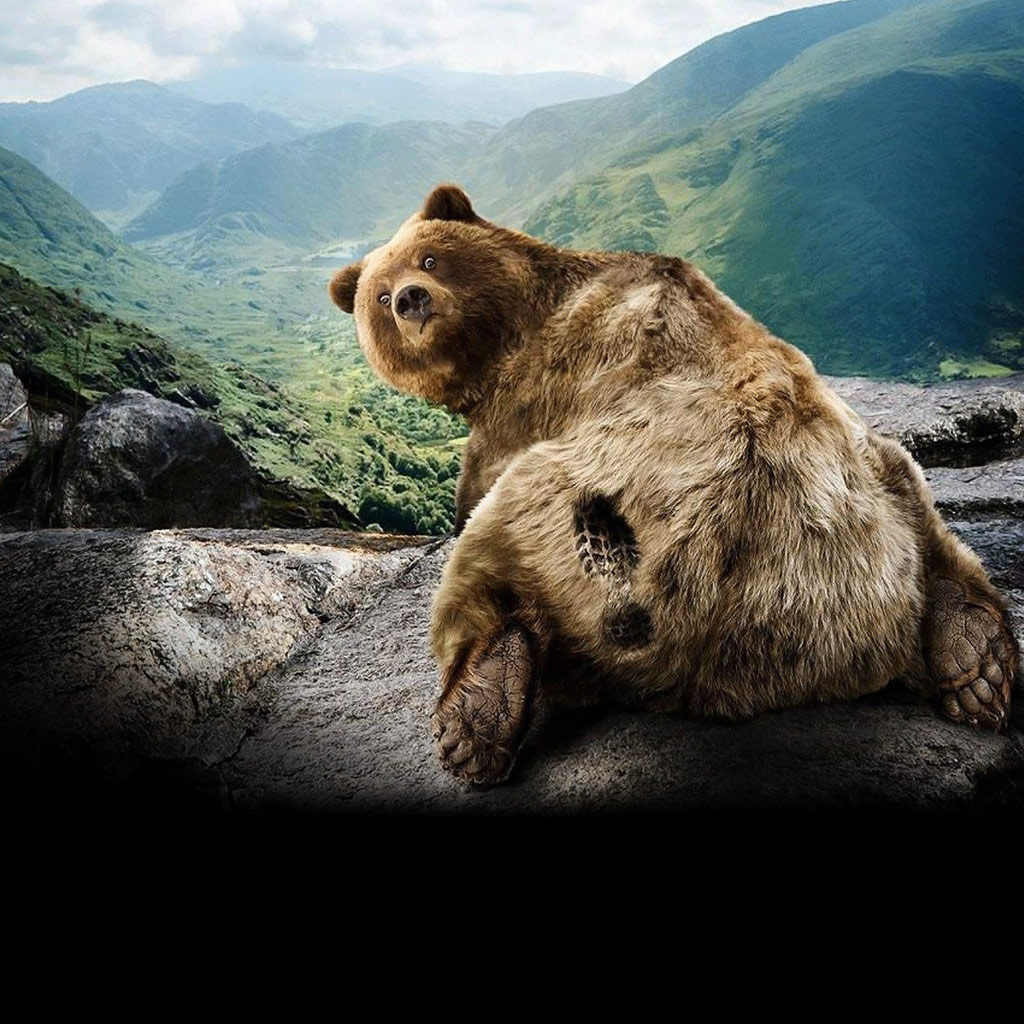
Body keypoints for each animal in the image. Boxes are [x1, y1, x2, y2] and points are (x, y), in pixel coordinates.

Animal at [330, 182, 1020, 786]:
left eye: (429, 258)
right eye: (380, 298)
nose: (412, 299)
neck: (515, 328)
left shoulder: (536, 395)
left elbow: (475, 489)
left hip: (581, 504)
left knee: (491, 551)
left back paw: (477, 712)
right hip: (863, 492)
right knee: (920, 507)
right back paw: (974, 661)